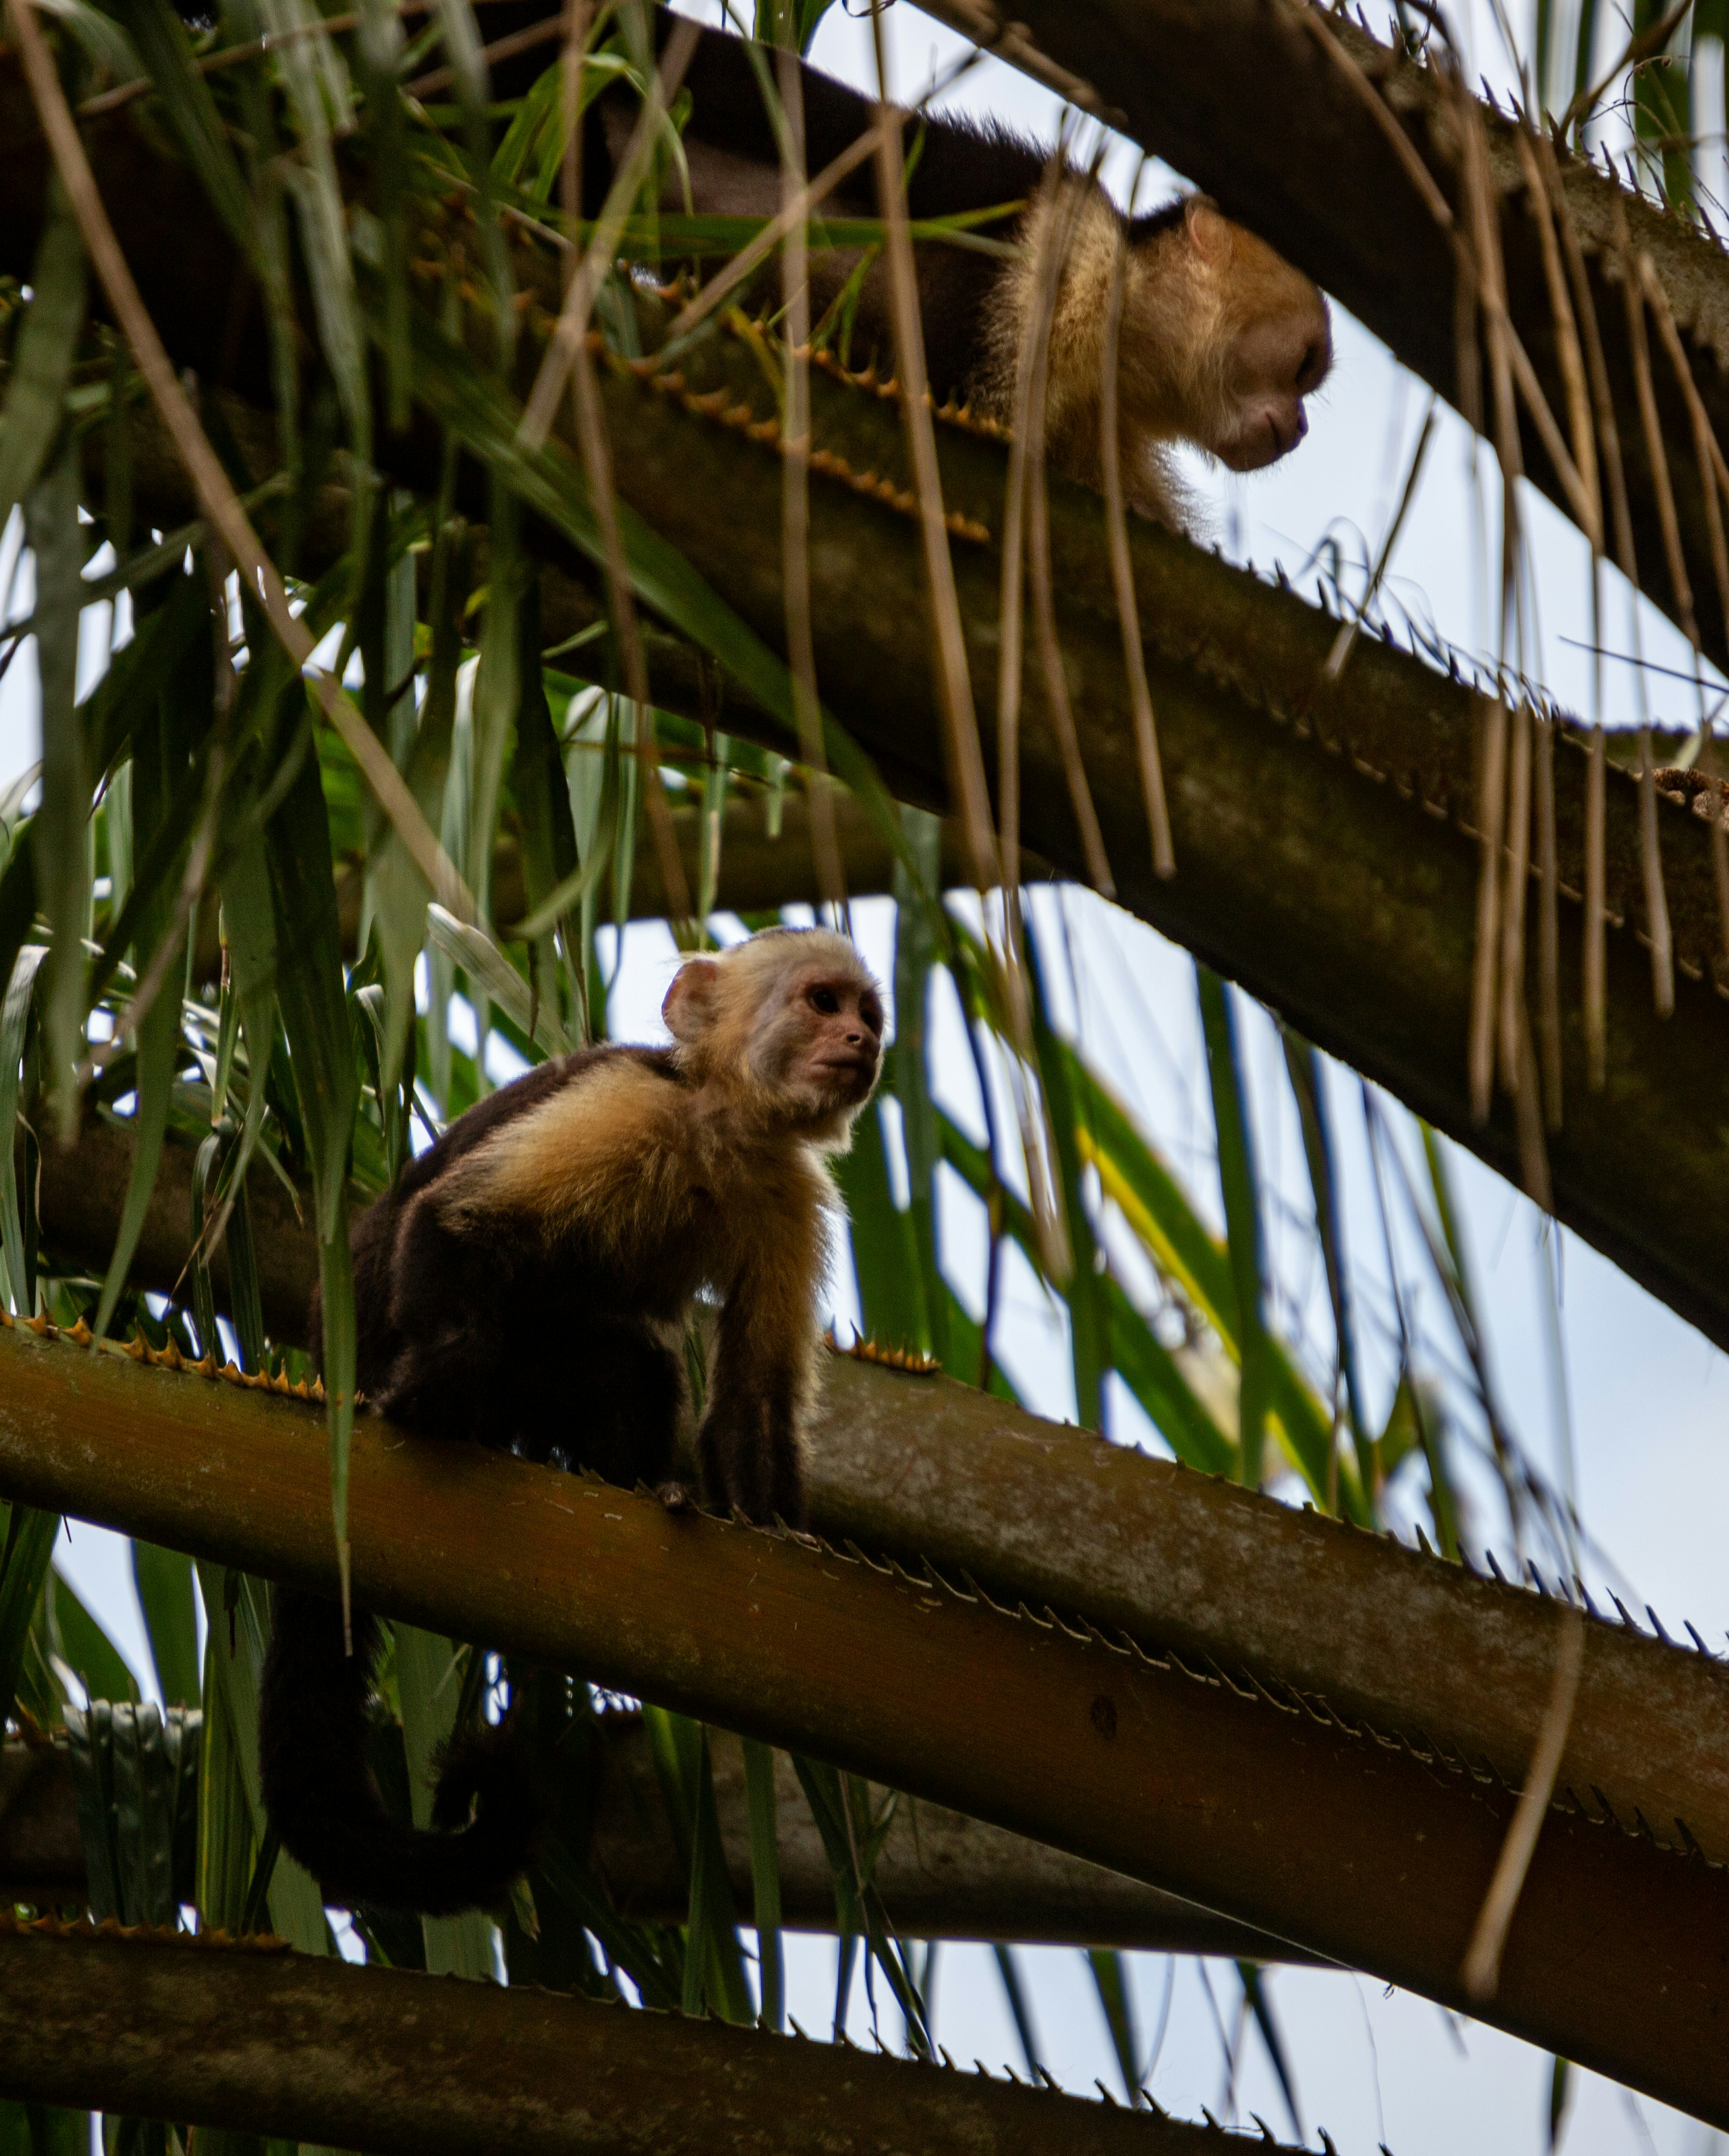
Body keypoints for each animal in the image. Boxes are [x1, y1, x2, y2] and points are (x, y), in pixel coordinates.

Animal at [259, 926, 885, 1916]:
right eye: (823, 1003)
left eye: (869, 1015)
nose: (861, 1042)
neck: (723, 1125)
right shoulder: (626, 1103)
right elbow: (457, 1219)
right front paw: (433, 1392)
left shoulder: (788, 1194)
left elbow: (754, 1397)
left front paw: (774, 1538)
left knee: (637, 1365)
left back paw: (641, 1484)